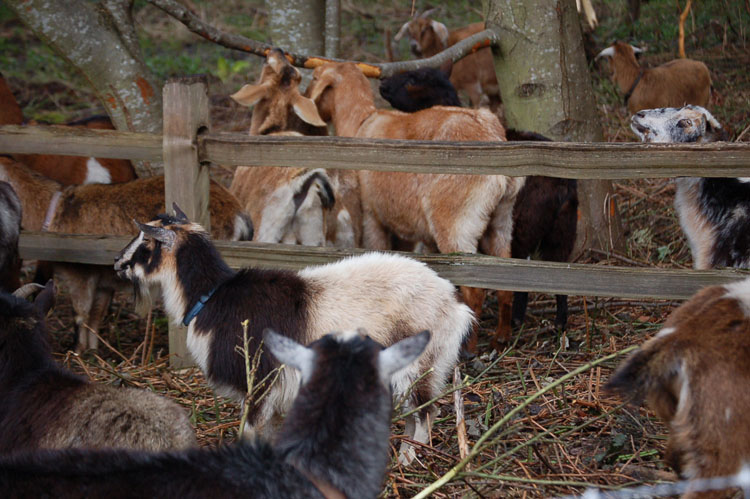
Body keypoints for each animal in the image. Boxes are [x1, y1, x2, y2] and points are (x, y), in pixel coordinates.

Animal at [0, 156, 253, 352]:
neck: (53, 212)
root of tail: (239, 214)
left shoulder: (80, 273)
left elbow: (81, 314)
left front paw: (77, 351)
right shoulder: (103, 283)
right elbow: (95, 316)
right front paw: (93, 351)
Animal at [113, 209, 472, 465]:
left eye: (146, 244)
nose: (117, 263)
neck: (211, 297)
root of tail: (454, 304)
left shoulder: (258, 380)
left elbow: (249, 430)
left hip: (420, 362)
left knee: (424, 412)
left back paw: (409, 459)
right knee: (419, 411)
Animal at [306, 61, 524, 350]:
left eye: (314, 77)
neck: (362, 123)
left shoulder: (373, 217)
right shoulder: (412, 229)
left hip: (456, 225)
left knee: (475, 289)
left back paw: (468, 348)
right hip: (501, 220)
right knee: (505, 283)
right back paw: (502, 337)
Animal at [378, 68, 579, 332]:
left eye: (413, 80)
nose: (382, 85)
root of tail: (563, 184)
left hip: (524, 226)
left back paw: (516, 320)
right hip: (562, 230)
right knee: (561, 275)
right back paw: (559, 324)